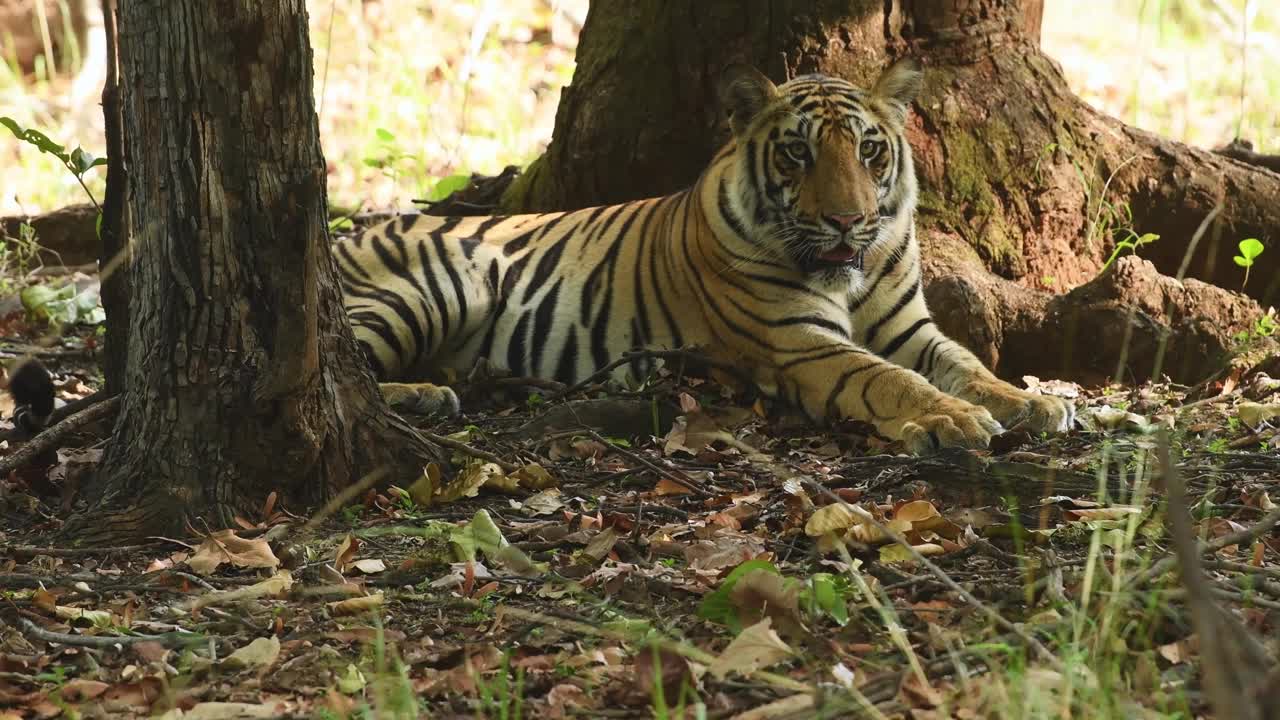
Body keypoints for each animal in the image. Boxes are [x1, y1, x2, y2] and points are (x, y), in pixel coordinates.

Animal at [335, 58, 1075, 450]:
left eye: (869, 150)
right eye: (797, 153)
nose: (847, 220)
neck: (850, 277)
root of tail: (348, 230)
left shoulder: (909, 328)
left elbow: (966, 364)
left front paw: (1030, 402)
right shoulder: (799, 341)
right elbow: (888, 380)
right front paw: (954, 419)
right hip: (437, 290)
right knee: (352, 366)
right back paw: (422, 398)